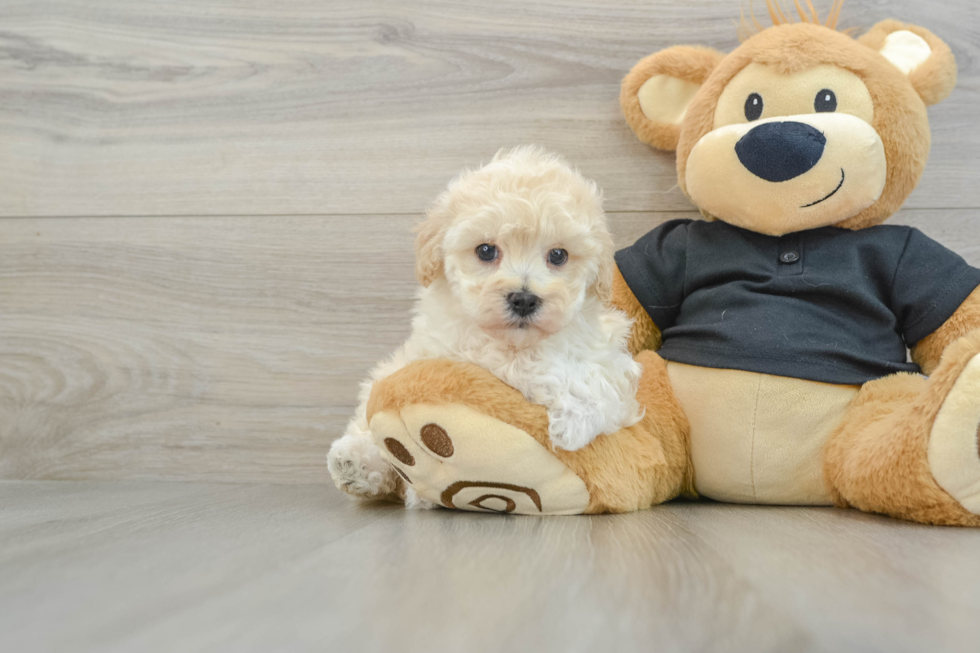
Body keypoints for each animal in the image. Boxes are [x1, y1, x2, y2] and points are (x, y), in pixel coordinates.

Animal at [330, 145, 644, 506]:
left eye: (559, 256)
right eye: (485, 250)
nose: (524, 299)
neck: (511, 343)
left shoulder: (608, 359)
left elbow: (592, 377)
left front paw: (570, 425)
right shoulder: (433, 350)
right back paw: (356, 464)